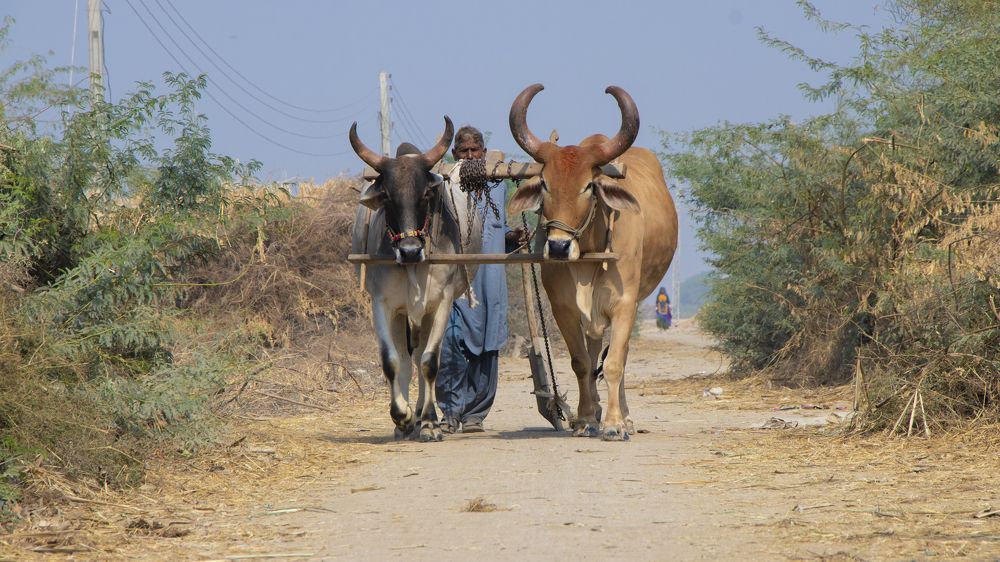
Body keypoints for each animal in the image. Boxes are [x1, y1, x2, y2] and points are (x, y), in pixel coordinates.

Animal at [349, 116, 483, 442]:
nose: (409, 251)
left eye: (425, 195)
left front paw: (430, 422)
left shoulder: (442, 303)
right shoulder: (382, 304)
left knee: (421, 356)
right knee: (405, 358)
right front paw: (402, 416)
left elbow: (430, 362)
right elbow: (391, 361)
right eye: (387, 196)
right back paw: (408, 422)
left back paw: (424, 416)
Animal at [507, 84, 678, 441]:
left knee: (618, 356)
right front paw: (587, 418)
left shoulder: (625, 304)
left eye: (588, 185)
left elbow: (613, 363)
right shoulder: (563, 308)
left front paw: (614, 424)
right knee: (593, 348)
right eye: (545, 184)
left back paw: (623, 416)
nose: (558, 246)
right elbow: (581, 363)